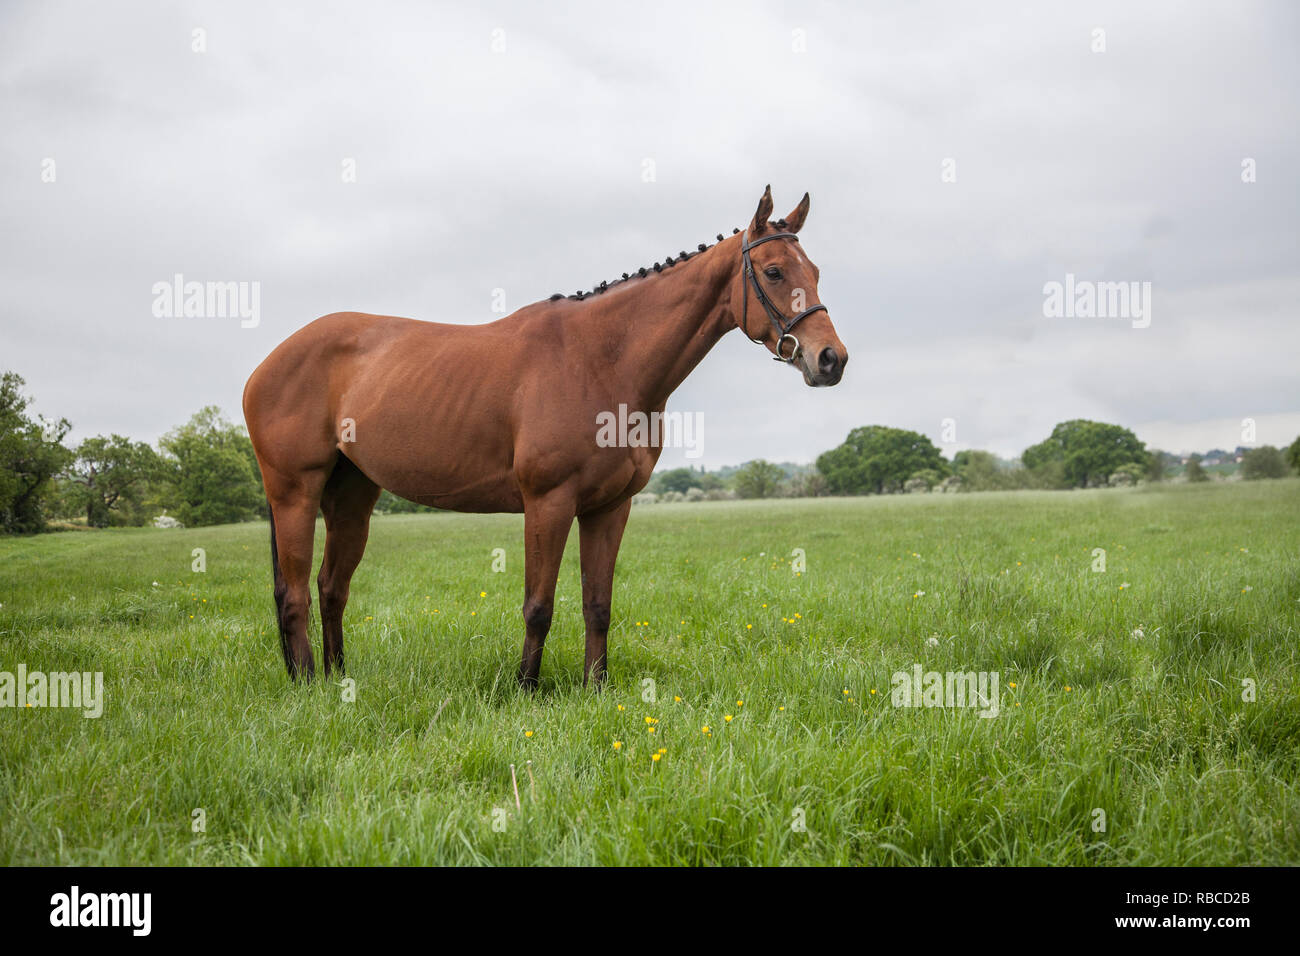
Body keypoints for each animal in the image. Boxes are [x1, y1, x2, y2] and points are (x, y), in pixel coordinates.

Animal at [243, 186, 848, 689]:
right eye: (774, 271)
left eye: (816, 270)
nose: (830, 359)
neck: (602, 360)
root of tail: (267, 363)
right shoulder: (548, 502)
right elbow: (539, 604)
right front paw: (525, 689)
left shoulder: (609, 508)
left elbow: (598, 604)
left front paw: (595, 688)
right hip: (295, 493)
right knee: (294, 593)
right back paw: (308, 686)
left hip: (352, 495)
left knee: (331, 588)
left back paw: (339, 678)